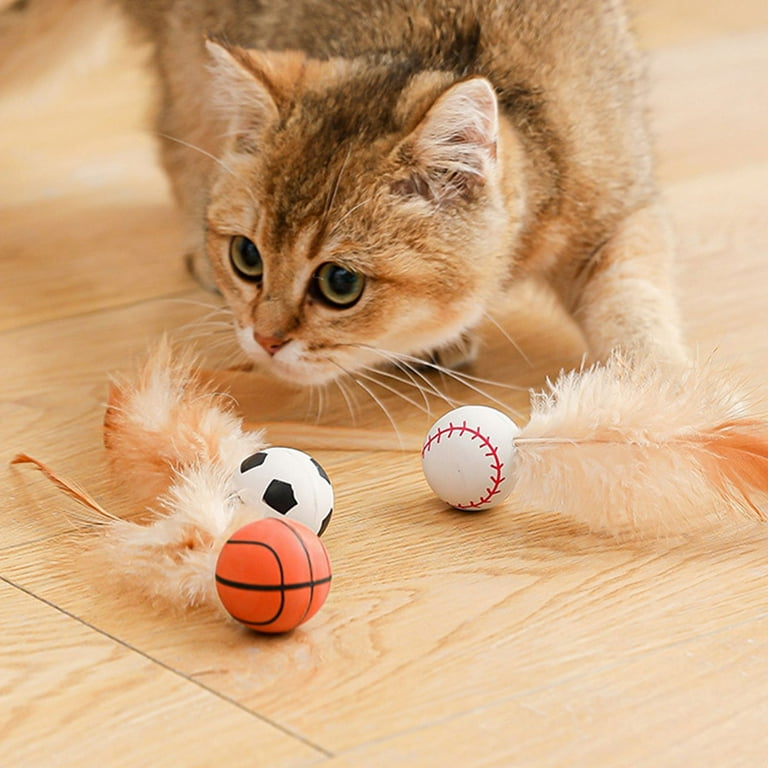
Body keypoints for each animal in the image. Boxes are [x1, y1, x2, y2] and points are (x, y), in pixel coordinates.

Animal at [1, 0, 684, 384]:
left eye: (340, 284)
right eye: (247, 258)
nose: (264, 339)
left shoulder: (619, 208)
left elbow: (634, 299)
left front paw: (660, 386)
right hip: (188, 49)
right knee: (175, 130)